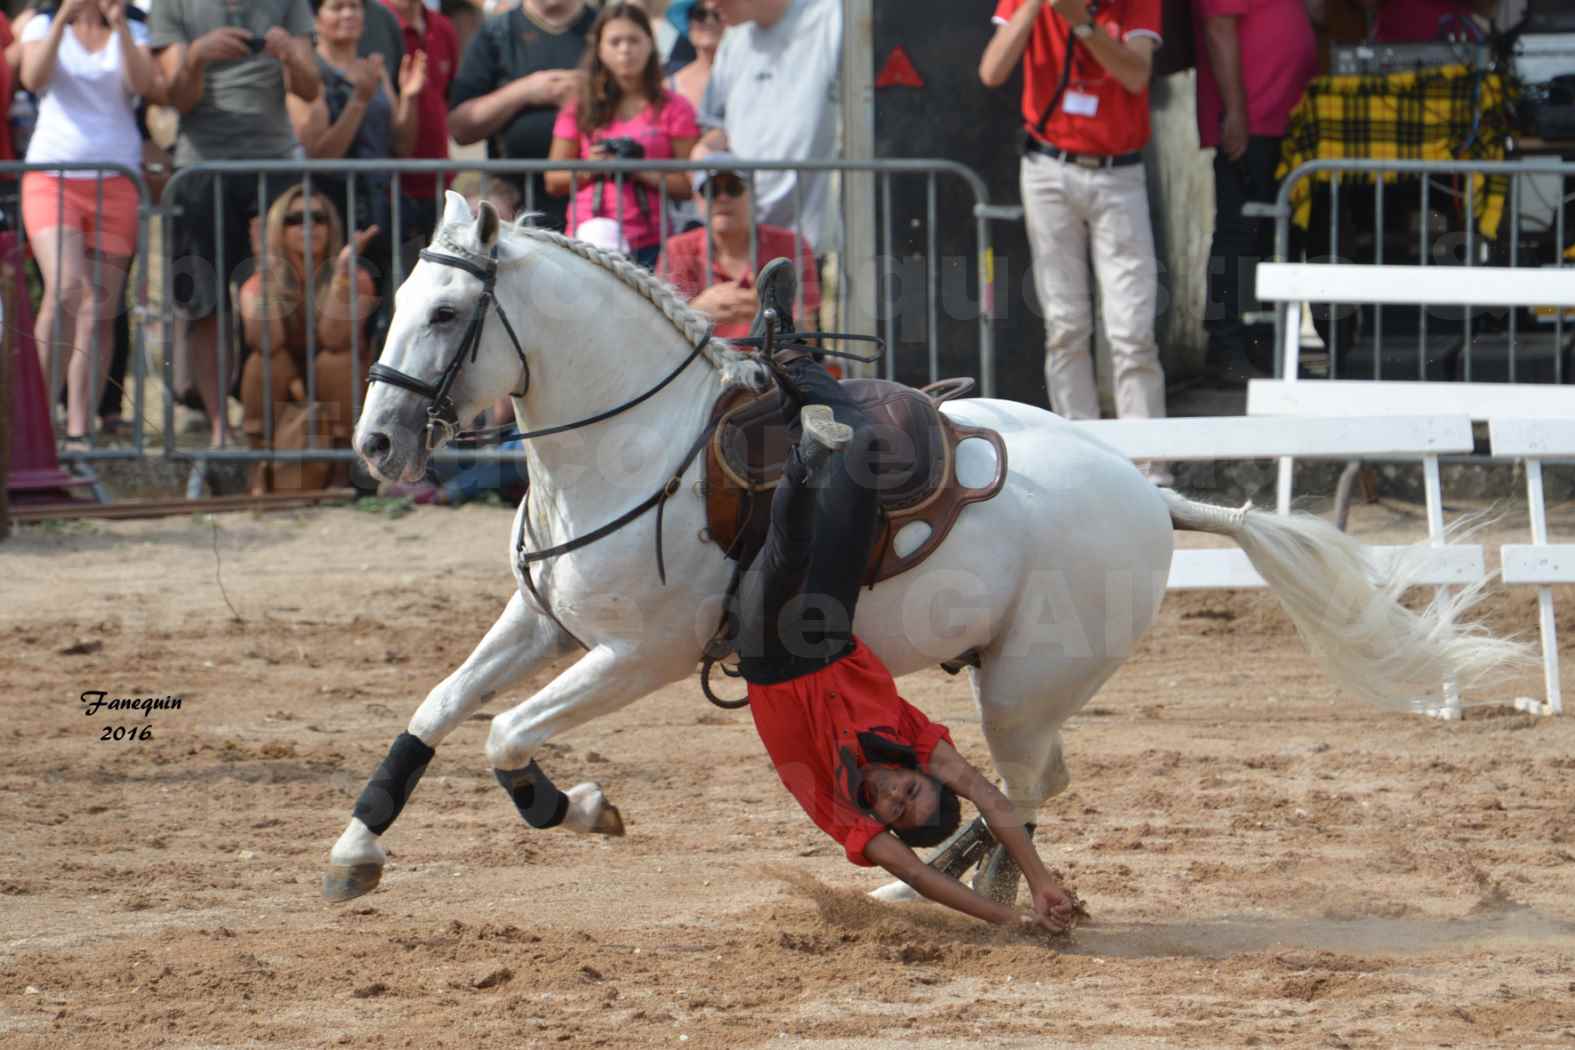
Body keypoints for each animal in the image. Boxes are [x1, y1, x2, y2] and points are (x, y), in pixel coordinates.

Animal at [329, 195, 1512, 906]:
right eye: (399, 299)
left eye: (447, 312)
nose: (375, 444)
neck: (638, 450)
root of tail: (1151, 493)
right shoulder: (543, 622)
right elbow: (440, 707)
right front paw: (358, 846)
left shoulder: (640, 656)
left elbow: (507, 735)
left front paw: (572, 806)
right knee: (1037, 783)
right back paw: (953, 878)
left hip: (1025, 684)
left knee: (1030, 782)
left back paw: (945, 881)